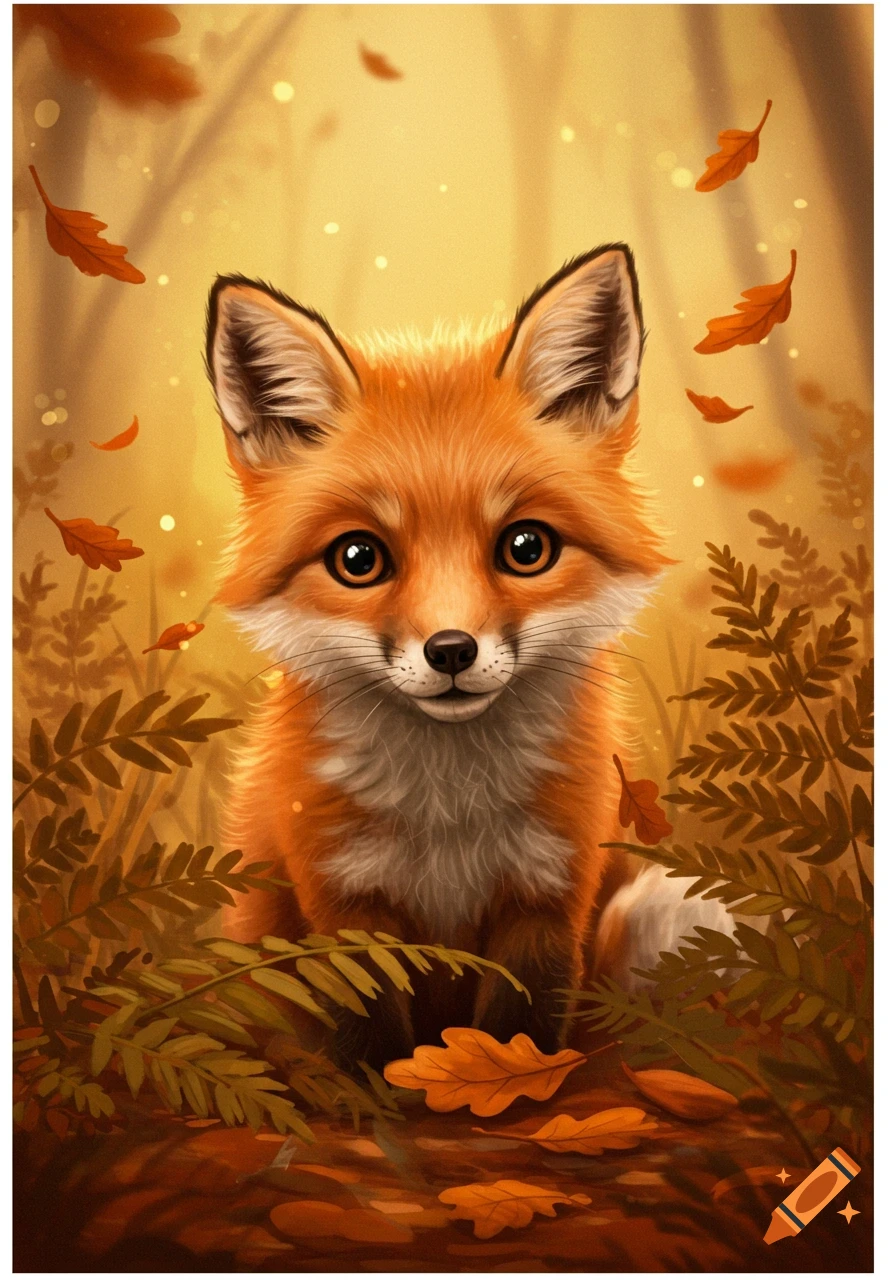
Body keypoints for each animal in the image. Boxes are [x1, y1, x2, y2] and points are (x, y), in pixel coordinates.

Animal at [204, 243, 707, 1070]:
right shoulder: (343, 896)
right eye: (358, 558)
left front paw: (500, 1082)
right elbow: (368, 1037)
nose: (450, 651)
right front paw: (377, 1089)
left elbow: (519, 1033)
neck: (448, 816)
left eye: (526, 547)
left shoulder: (547, 892)